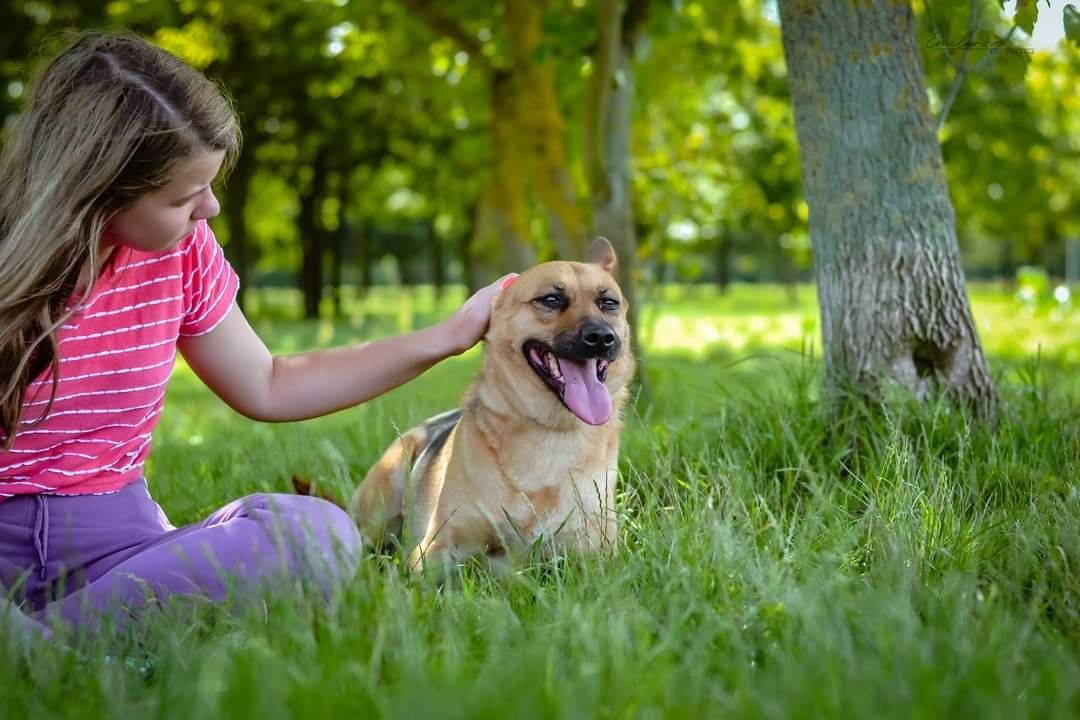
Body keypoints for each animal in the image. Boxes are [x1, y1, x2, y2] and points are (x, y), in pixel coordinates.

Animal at [347, 237, 630, 574]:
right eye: (551, 299)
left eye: (609, 303)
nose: (602, 337)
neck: (551, 432)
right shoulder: (432, 551)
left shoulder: (597, 554)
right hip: (382, 499)